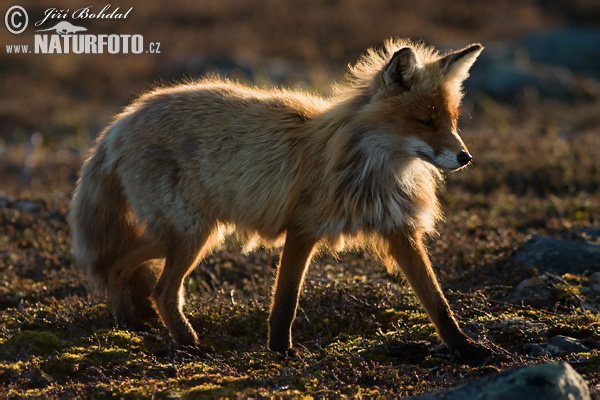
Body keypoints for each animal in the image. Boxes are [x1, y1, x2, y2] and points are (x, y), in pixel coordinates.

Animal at [71, 37, 492, 362]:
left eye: (453, 121)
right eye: (425, 122)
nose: (466, 158)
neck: (373, 168)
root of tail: (122, 120)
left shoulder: (399, 231)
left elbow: (438, 302)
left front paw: (465, 349)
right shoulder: (303, 227)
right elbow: (285, 301)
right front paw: (280, 351)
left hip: (183, 235)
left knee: (117, 265)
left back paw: (127, 323)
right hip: (191, 234)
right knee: (157, 289)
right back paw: (188, 343)